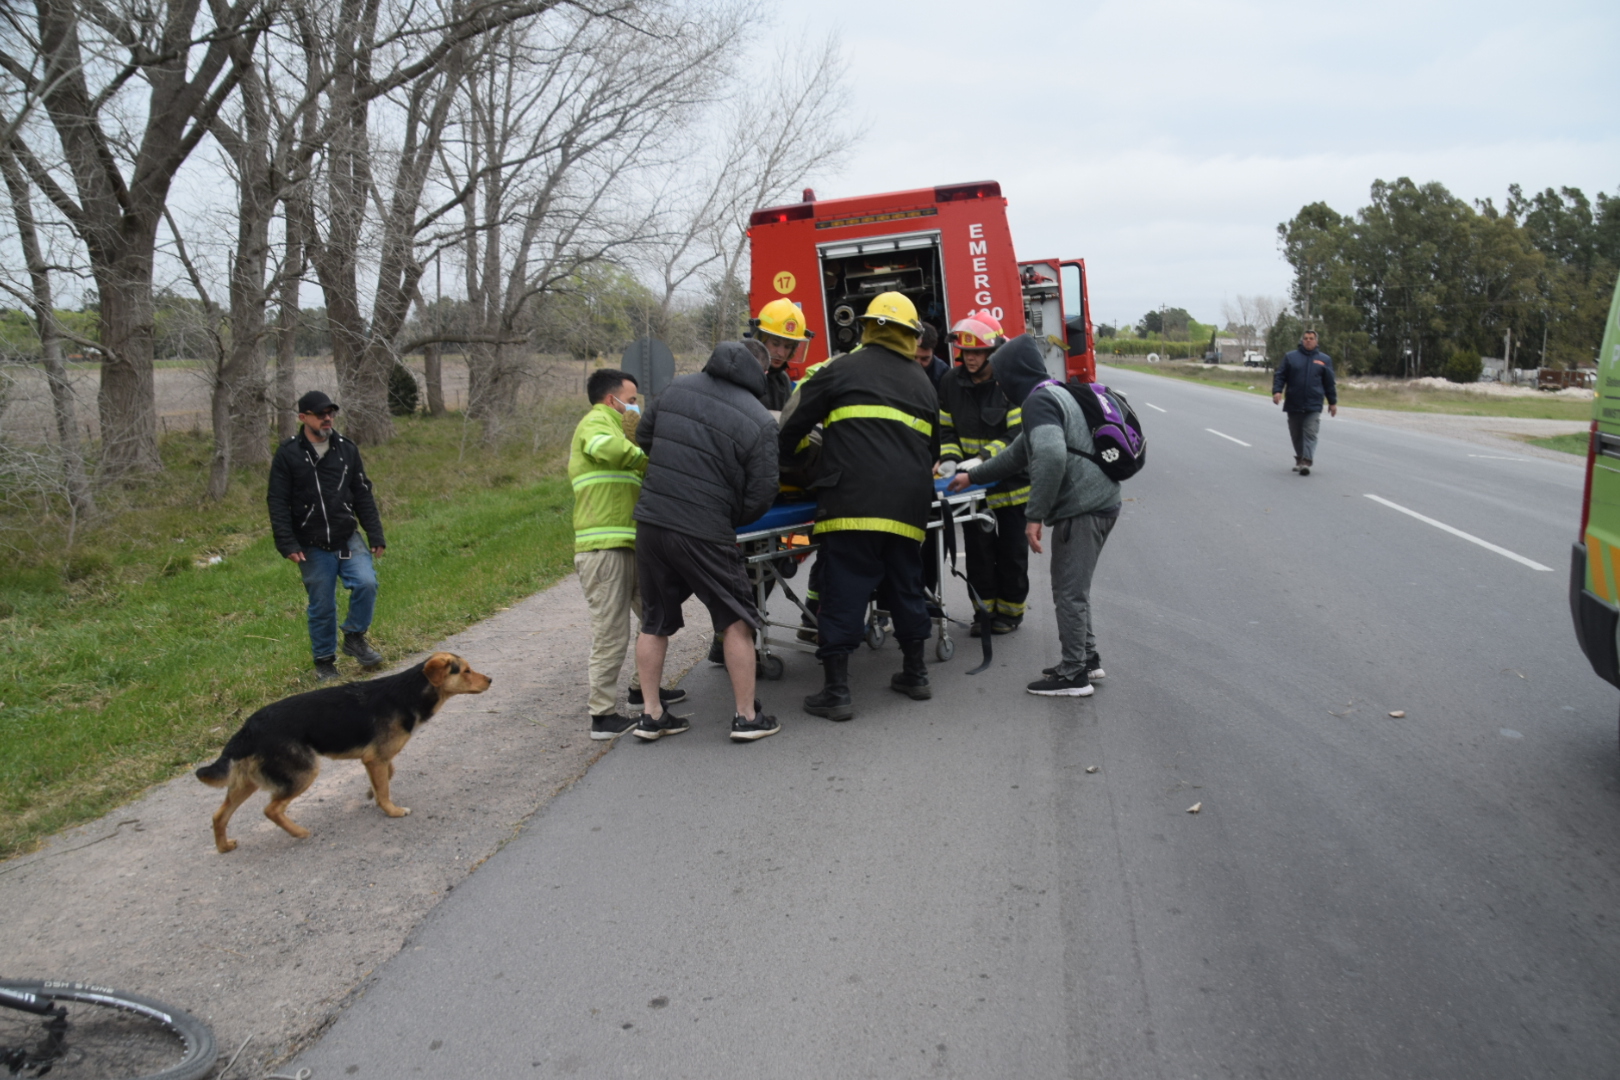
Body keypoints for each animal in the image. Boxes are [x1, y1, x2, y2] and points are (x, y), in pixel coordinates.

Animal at [196, 650, 489, 854]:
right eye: (465, 670)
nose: (490, 679)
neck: (408, 693)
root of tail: (247, 728)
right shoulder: (375, 757)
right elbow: (386, 787)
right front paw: (392, 811)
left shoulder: (375, 758)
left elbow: (387, 776)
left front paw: (372, 793)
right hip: (302, 772)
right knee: (271, 809)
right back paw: (299, 832)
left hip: (247, 780)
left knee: (219, 815)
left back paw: (224, 847)